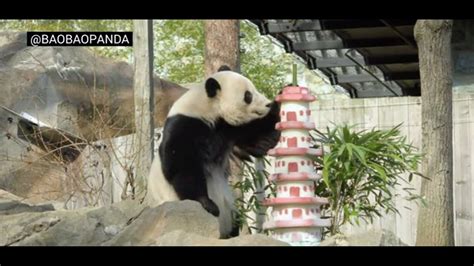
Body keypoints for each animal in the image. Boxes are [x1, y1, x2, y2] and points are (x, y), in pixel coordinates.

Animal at [148, 67, 280, 239]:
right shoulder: (184, 127)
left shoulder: (228, 128)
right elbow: (181, 167)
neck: (207, 109)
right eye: (248, 96)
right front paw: (207, 204)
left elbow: (260, 140)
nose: (267, 104)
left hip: (230, 209)